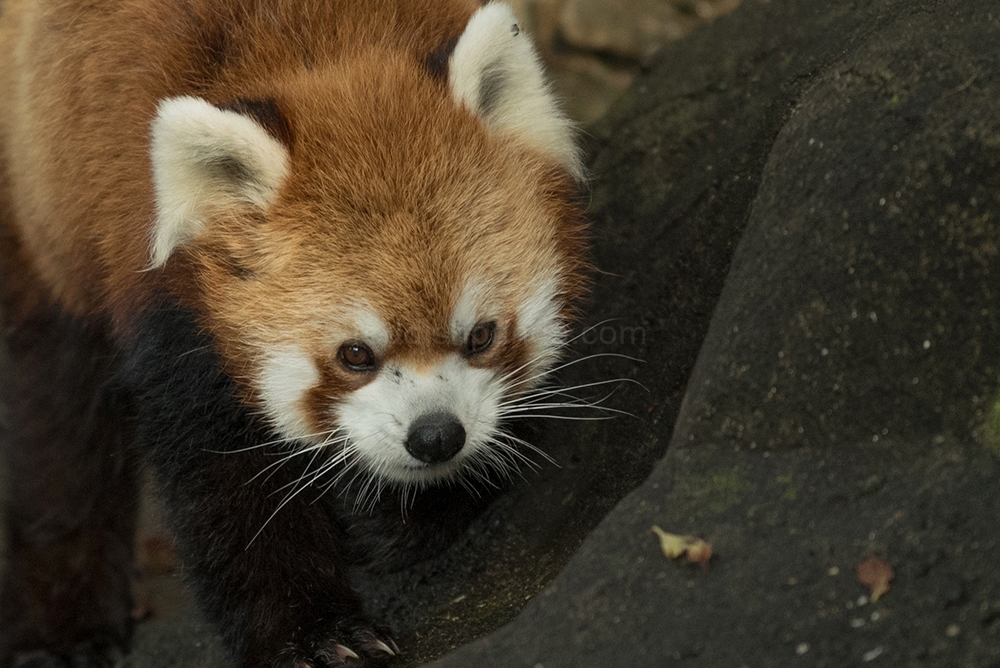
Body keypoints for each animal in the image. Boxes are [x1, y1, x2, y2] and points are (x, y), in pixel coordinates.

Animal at [0, 1, 584, 668]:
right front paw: (314, 636)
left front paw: (394, 519)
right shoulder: (169, 311)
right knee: (60, 424)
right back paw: (60, 627)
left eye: (482, 336)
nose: (435, 436)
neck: (320, 48)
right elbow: (228, 488)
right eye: (355, 354)